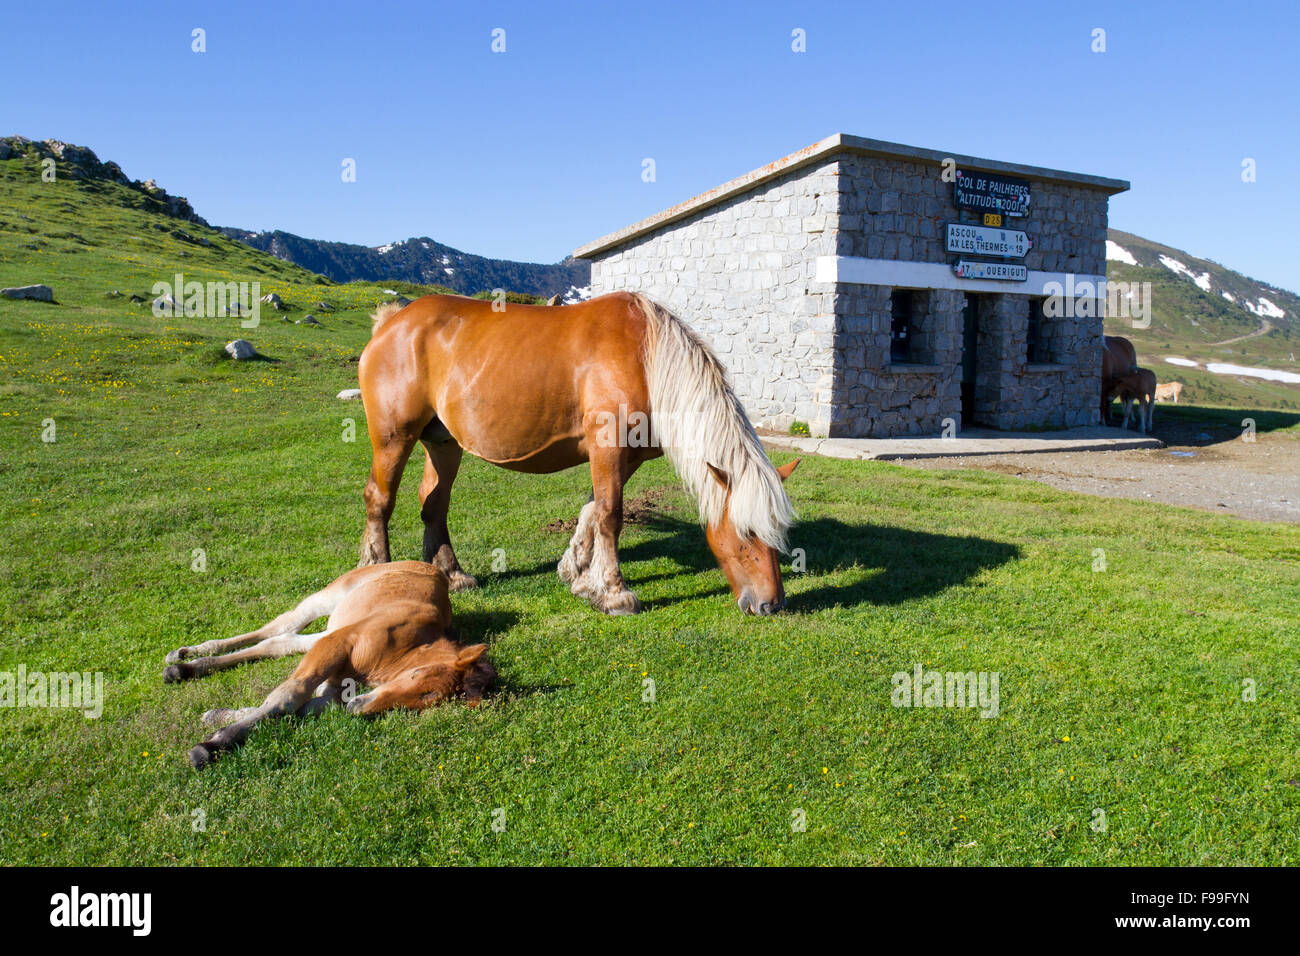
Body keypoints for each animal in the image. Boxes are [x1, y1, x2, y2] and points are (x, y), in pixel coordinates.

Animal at [163, 562, 494, 769]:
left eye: (425, 704)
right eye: (419, 678)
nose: (358, 708)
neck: (405, 647)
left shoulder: (337, 682)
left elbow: (298, 708)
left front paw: (218, 718)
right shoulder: (339, 643)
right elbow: (289, 696)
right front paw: (212, 746)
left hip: (330, 626)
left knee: (280, 642)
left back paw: (187, 667)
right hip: (327, 600)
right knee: (279, 626)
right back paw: (184, 656)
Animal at [355, 291, 799, 616]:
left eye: (777, 531)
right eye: (746, 533)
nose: (771, 605)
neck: (647, 357)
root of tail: (391, 321)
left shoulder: (626, 457)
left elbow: (592, 511)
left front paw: (581, 576)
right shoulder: (609, 447)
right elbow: (610, 515)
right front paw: (615, 593)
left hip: (443, 443)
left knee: (433, 504)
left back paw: (451, 575)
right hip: (394, 438)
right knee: (379, 499)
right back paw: (378, 574)